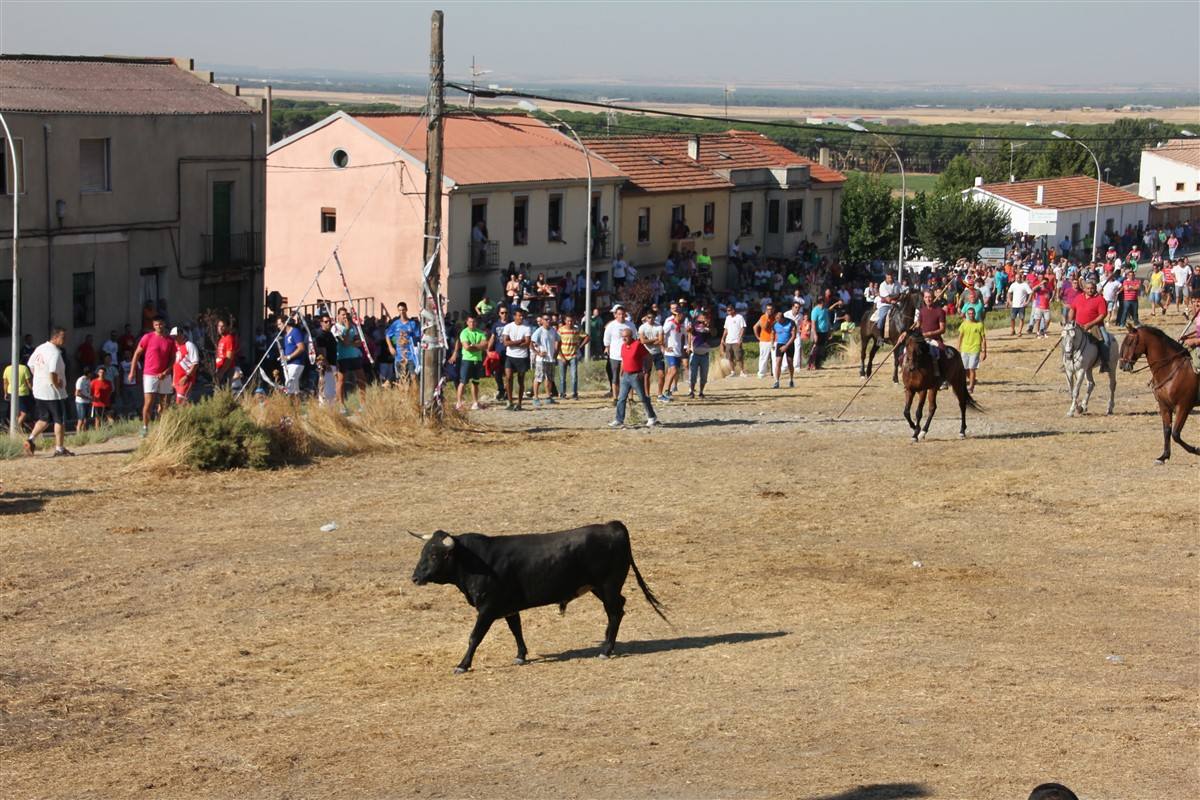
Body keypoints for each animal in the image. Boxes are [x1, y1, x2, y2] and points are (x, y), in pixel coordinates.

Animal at [412, 522, 672, 671]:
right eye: (423, 552)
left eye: (435, 555)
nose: (415, 578)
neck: (476, 561)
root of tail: (614, 526)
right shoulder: (508, 607)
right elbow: (516, 629)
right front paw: (520, 656)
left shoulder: (487, 609)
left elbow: (474, 637)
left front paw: (462, 665)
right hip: (600, 587)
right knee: (618, 608)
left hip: (608, 585)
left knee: (615, 612)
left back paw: (606, 650)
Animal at [1118, 323, 1195, 465]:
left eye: (1130, 342)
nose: (1122, 365)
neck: (1171, 368)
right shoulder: (1164, 406)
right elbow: (1167, 430)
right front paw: (1164, 456)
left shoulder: (1184, 406)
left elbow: (1175, 434)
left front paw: (1196, 449)